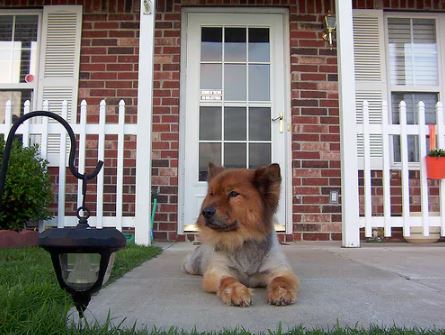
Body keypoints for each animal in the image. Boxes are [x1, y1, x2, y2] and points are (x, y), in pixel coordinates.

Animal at [182, 163, 300, 308]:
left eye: (233, 194)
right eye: (212, 194)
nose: (206, 212)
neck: (243, 239)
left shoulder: (280, 269)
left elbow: (281, 279)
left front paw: (281, 292)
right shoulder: (217, 270)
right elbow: (228, 280)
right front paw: (237, 292)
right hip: (192, 265)